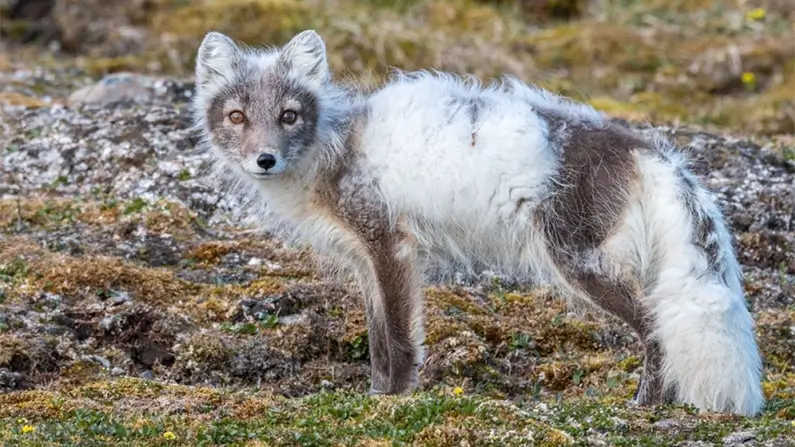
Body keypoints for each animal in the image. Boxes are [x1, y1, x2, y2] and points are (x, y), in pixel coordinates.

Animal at [191, 29, 765, 416]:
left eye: (289, 115)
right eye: (237, 117)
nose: (264, 159)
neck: (328, 150)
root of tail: (641, 147)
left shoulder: (391, 247)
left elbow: (399, 342)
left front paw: (392, 400)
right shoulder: (364, 260)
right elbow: (377, 340)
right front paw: (376, 395)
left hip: (579, 262)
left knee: (655, 329)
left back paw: (644, 406)